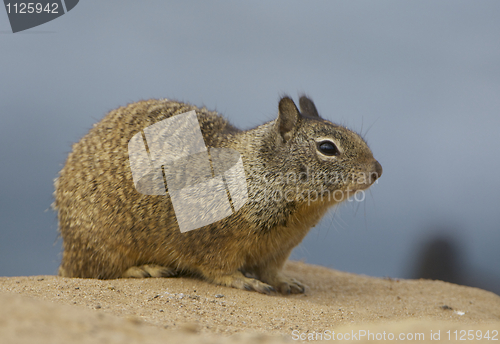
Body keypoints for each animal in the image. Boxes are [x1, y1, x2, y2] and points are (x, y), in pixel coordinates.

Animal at [53, 95, 382, 294]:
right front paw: (244, 281)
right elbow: (219, 268)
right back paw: (145, 268)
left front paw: (285, 282)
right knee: (93, 271)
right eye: (327, 147)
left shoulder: (279, 249)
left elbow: (272, 271)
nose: (377, 170)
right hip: (103, 244)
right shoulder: (213, 240)